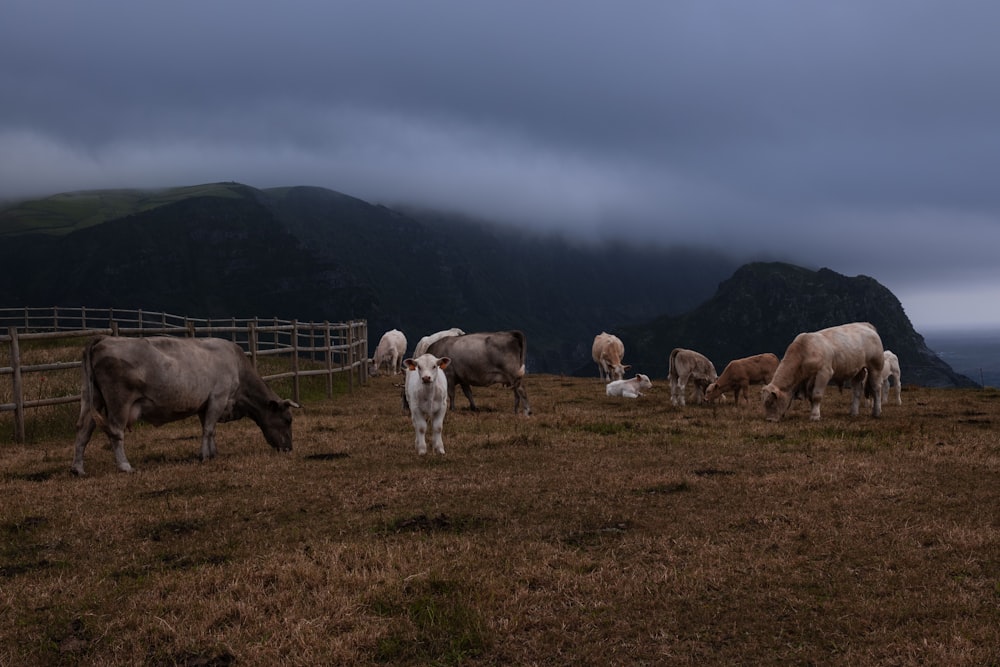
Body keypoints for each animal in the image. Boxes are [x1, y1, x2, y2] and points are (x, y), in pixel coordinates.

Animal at [70, 340, 298, 474]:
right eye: (288, 419)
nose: (289, 448)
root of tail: (101, 340)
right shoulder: (218, 397)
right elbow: (209, 429)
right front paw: (204, 456)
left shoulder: (205, 404)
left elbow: (209, 429)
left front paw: (212, 453)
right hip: (119, 402)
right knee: (115, 432)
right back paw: (125, 466)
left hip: (91, 398)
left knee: (83, 429)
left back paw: (77, 468)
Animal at [760, 320, 888, 422]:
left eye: (771, 402)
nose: (769, 420)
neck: (804, 352)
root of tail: (865, 325)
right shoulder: (808, 380)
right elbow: (811, 398)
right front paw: (814, 413)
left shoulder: (824, 373)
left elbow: (817, 396)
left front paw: (815, 416)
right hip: (858, 372)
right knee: (856, 391)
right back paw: (853, 413)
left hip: (876, 367)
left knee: (876, 389)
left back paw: (876, 412)